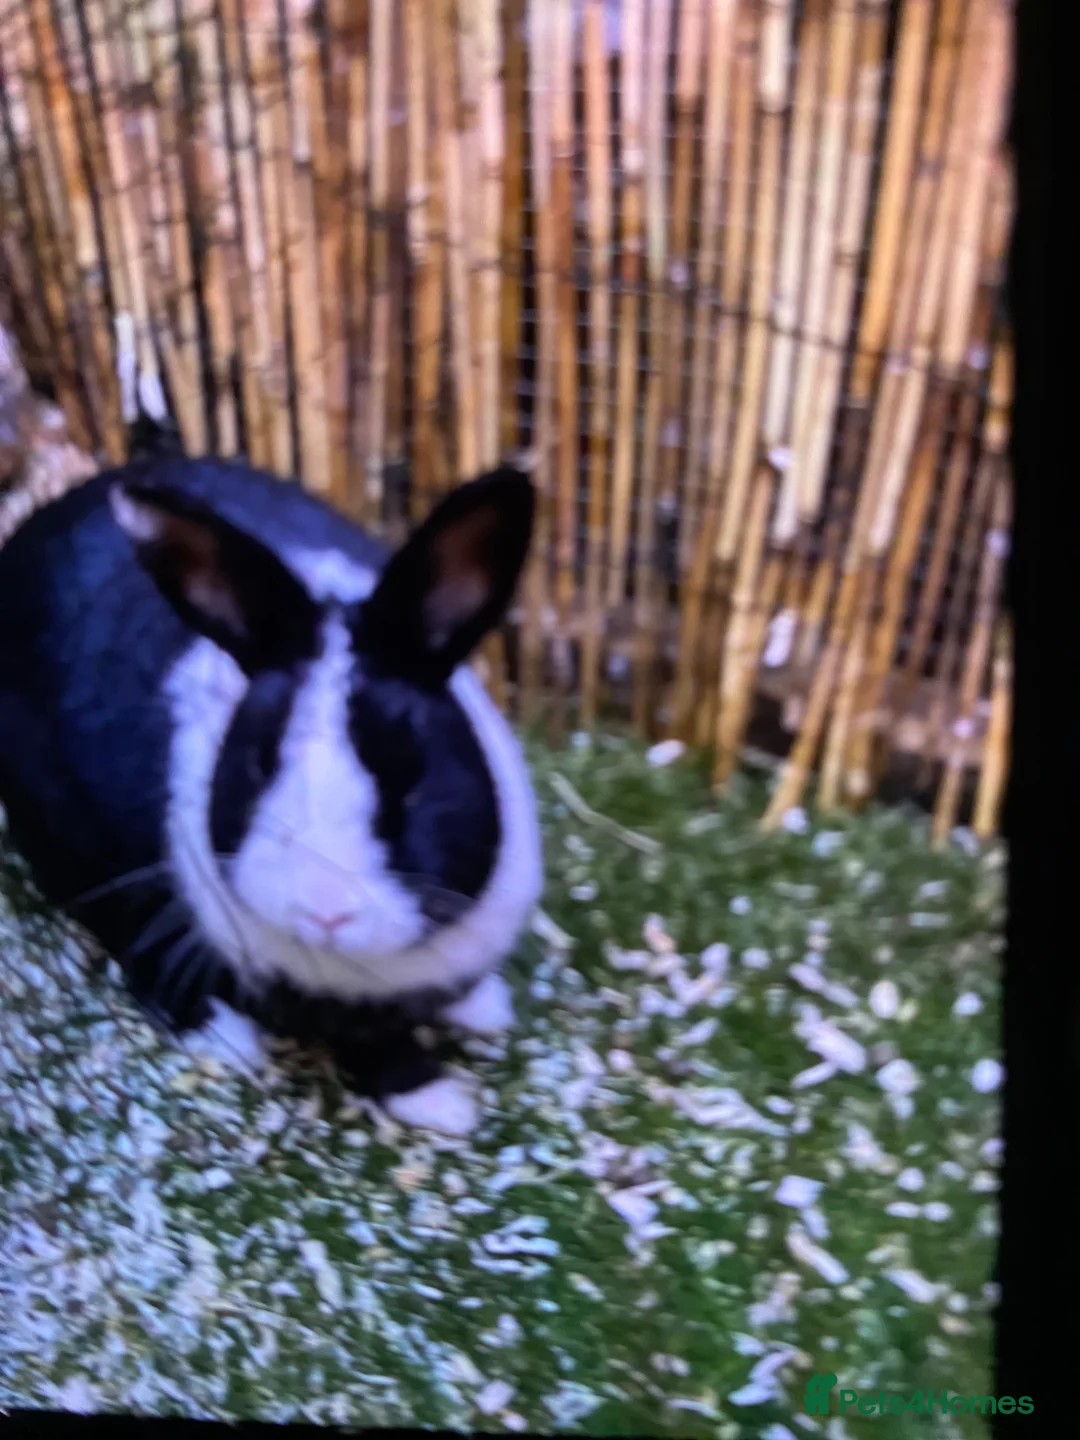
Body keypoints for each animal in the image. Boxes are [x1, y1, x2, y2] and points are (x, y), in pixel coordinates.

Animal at [0, 448, 542, 1136]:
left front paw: (484, 1006)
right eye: (262, 762)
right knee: (133, 942)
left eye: (412, 772)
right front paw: (439, 1102)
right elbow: (372, 1044)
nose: (327, 911)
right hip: (79, 848)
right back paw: (225, 1037)